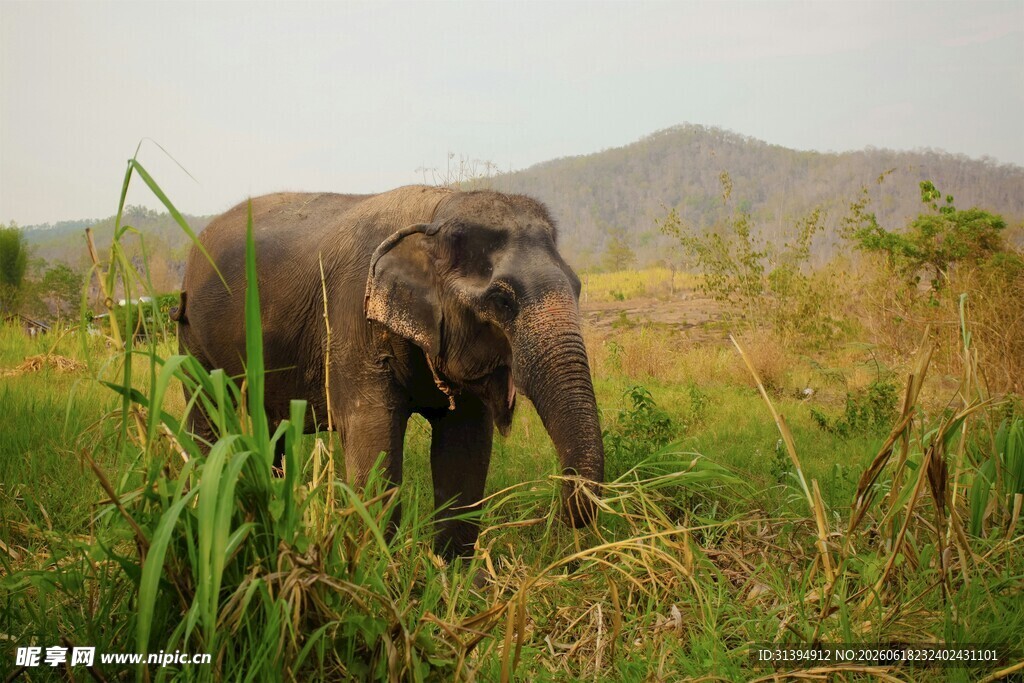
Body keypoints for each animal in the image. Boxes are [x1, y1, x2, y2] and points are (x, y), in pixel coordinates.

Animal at [173, 185, 604, 557]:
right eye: (501, 300)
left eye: (578, 287)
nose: (562, 515)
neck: (437, 213)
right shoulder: (352, 320)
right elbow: (374, 443)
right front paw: (376, 573)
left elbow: (465, 448)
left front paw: (452, 579)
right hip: (190, 333)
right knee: (205, 414)